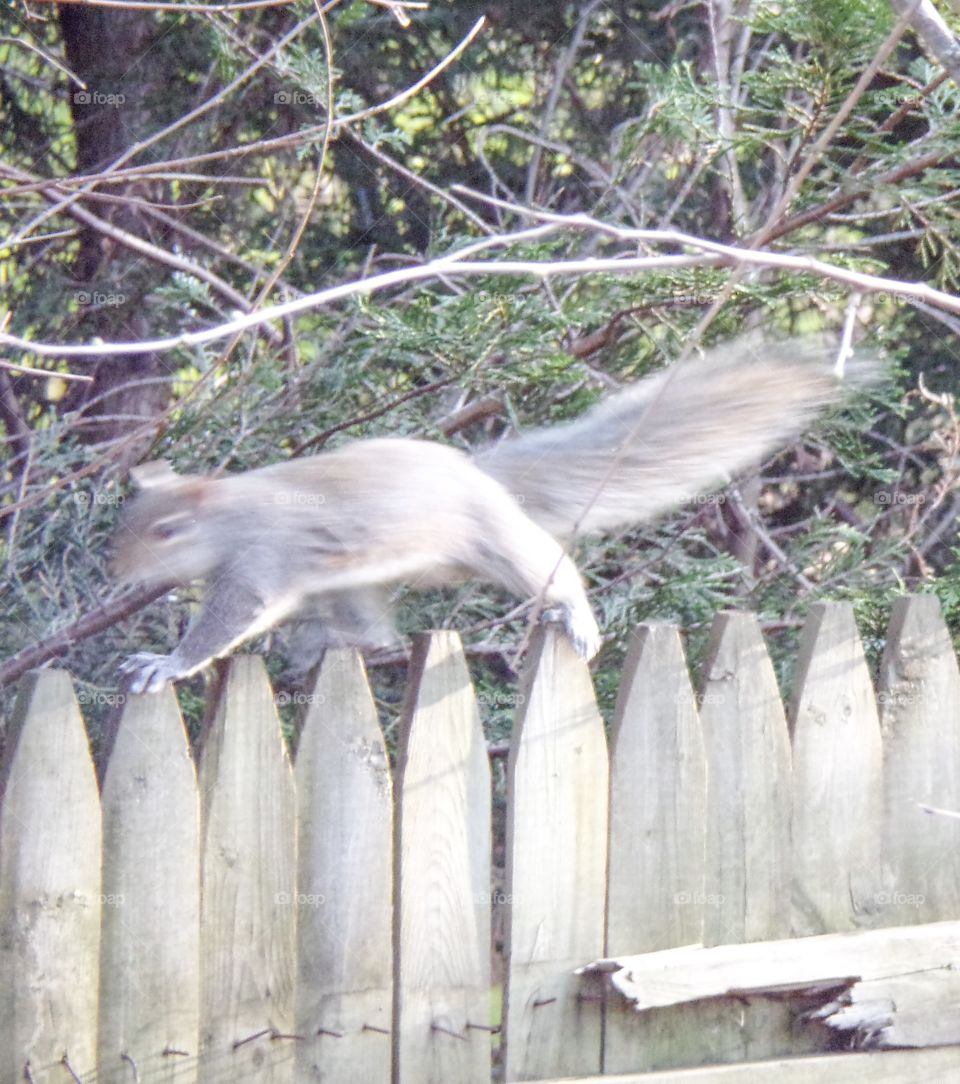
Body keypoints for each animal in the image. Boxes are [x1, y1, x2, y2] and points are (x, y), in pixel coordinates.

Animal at [111, 340, 874, 692]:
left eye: (165, 532)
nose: (116, 573)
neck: (230, 515)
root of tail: (479, 476)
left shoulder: (259, 563)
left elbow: (226, 621)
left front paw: (166, 664)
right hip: (360, 576)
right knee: (376, 631)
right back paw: (324, 644)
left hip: (494, 543)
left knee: (550, 570)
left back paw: (576, 615)